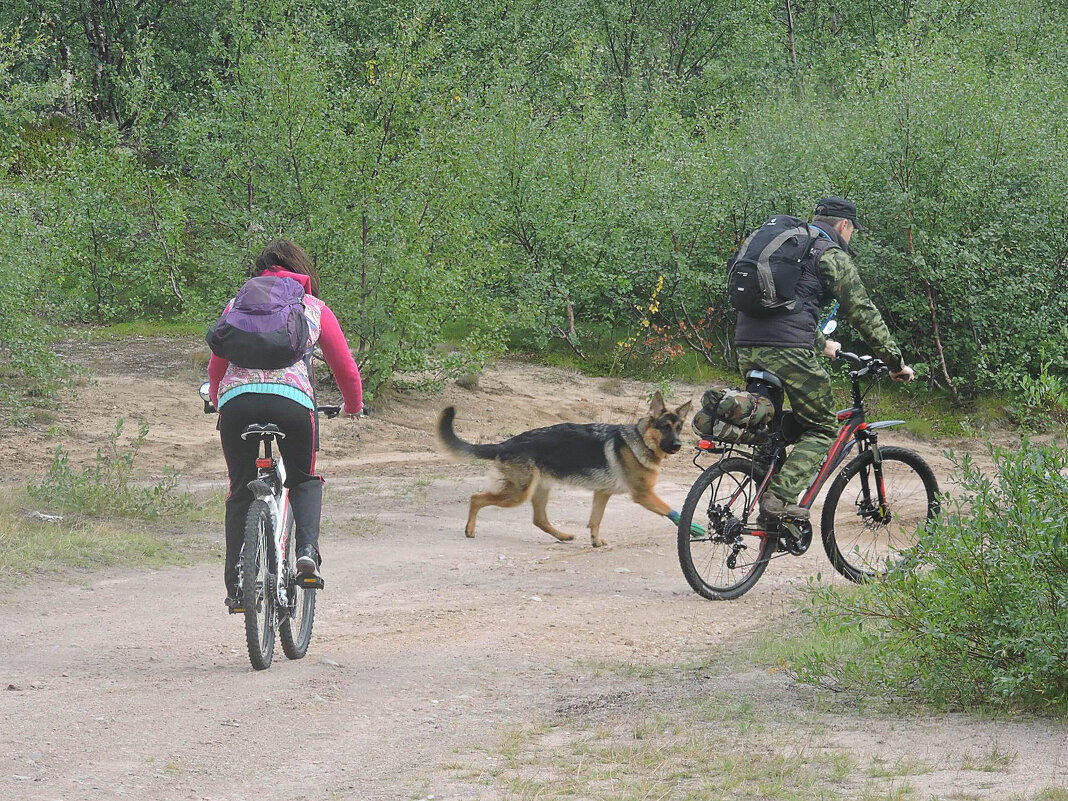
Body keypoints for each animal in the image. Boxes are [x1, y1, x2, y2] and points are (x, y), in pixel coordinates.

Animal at [435, 393, 692, 551]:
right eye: (665, 427)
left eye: (679, 428)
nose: (678, 445)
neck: (640, 440)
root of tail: (506, 443)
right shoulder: (644, 494)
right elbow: (672, 511)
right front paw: (694, 527)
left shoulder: (602, 493)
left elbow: (595, 521)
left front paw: (595, 541)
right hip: (518, 495)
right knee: (476, 498)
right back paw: (469, 530)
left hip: (539, 490)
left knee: (539, 519)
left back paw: (563, 536)